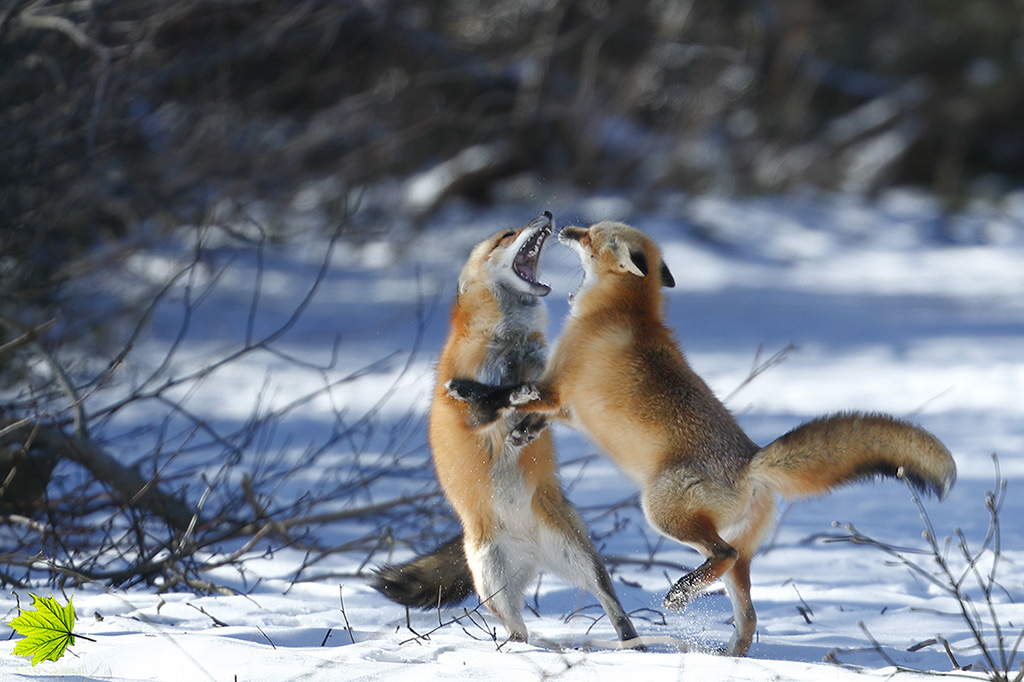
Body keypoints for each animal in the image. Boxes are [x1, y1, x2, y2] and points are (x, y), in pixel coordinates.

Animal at [368, 215, 638, 647]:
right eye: (507, 235)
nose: (546, 214)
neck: (511, 345)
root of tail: (531, 549)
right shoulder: (468, 414)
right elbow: (489, 395)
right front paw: (498, 393)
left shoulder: (552, 386)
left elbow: (537, 399)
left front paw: (524, 416)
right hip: (492, 579)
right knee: (517, 628)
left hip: (582, 556)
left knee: (610, 605)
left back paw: (631, 643)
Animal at [452, 219, 954, 655]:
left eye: (591, 235)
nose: (563, 225)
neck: (617, 310)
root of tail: (751, 461)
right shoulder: (567, 408)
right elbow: (532, 417)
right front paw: (518, 434)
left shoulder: (557, 388)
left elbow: (507, 394)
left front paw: (466, 390)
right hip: (739, 558)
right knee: (748, 614)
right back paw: (731, 657)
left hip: (663, 512)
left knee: (722, 554)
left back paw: (680, 594)